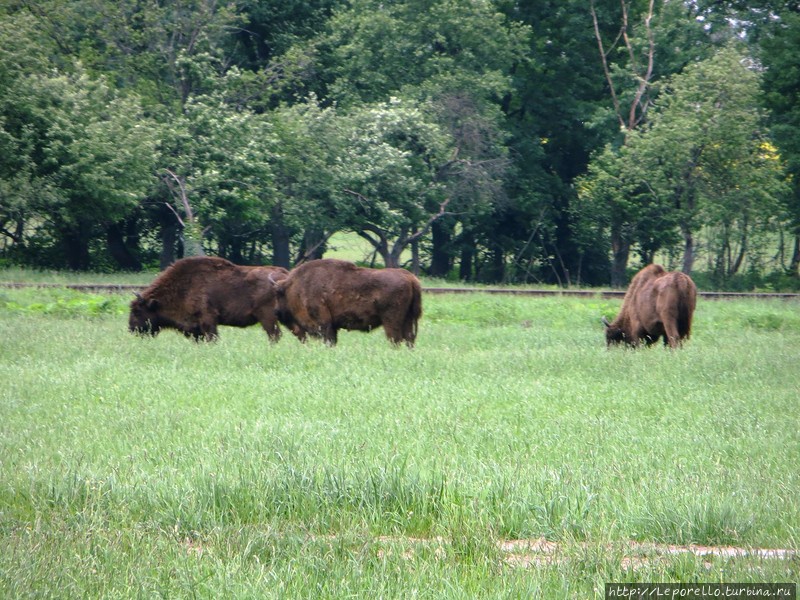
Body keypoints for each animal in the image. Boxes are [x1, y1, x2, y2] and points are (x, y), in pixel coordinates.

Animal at [126, 255, 286, 342]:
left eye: (138, 311)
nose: (132, 329)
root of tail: (284, 276)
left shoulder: (207, 319)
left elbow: (212, 337)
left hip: (267, 316)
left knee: (274, 335)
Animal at [272, 258, 422, 346]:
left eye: (279, 294)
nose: (276, 311)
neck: (296, 286)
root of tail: (410, 278)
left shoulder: (324, 324)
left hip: (391, 321)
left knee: (396, 339)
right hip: (408, 320)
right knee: (409, 339)